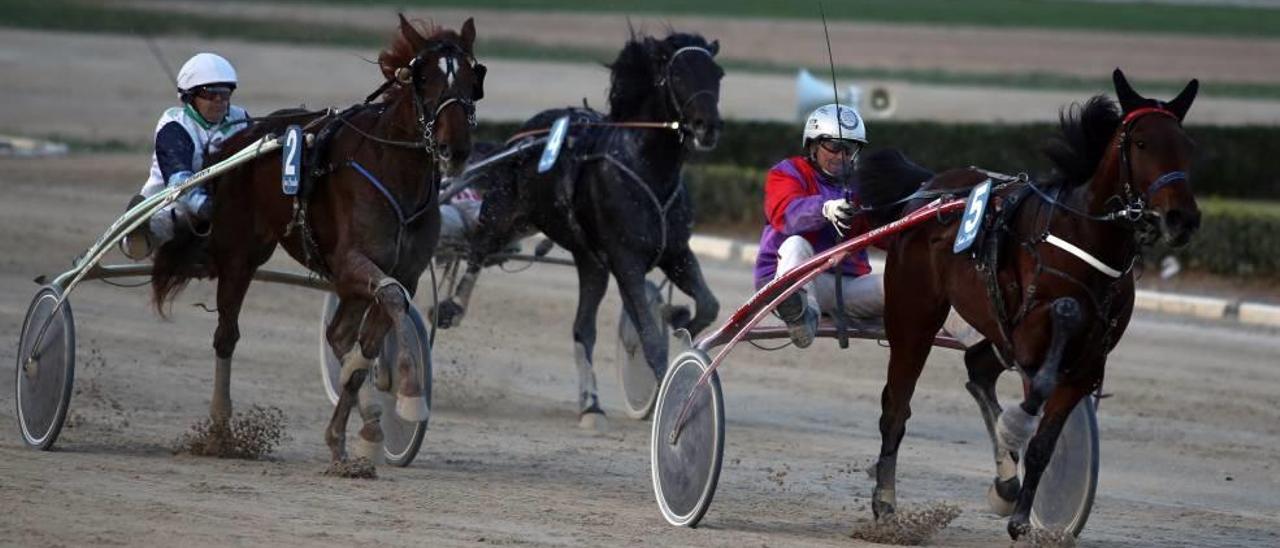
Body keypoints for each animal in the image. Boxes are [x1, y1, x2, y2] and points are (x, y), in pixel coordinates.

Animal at [148, 16, 483, 471]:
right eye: (424, 78)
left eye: (472, 76)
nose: (456, 148)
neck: (394, 170)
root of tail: (236, 141)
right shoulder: (351, 263)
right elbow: (389, 303)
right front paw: (409, 398)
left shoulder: (402, 272)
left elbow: (368, 339)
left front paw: (361, 431)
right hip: (240, 255)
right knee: (226, 336)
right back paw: (220, 429)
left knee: (338, 335)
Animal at [435, 32, 727, 430]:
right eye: (679, 74)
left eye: (718, 74)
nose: (707, 126)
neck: (646, 168)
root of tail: (523, 136)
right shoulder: (625, 259)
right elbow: (649, 336)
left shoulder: (676, 252)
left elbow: (708, 305)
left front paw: (678, 318)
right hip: (502, 213)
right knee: (478, 251)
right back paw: (452, 307)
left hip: (589, 261)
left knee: (582, 328)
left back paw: (591, 405)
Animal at [860, 69, 1198, 540]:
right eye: (1142, 143)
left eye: (1188, 146)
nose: (1183, 219)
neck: (1084, 237)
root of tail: (928, 191)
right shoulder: (1030, 336)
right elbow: (1048, 357)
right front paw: (1016, 426)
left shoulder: (1087, 365)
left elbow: (1044, 444)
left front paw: (1022, 516)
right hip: (914, 315)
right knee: (896, 407)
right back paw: (887, 506)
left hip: (991, 326)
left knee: (978, 368)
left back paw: (1005, 482)